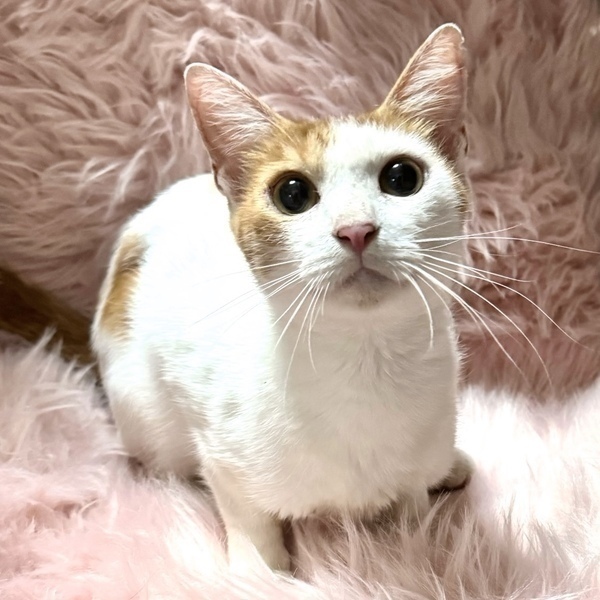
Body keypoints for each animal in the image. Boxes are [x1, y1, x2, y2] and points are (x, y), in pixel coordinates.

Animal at [90, 23, 474, 572]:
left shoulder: (410, 468)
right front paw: (261, 572)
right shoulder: (220, 449)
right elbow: (247, 515)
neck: (366, 364)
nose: (356, 229)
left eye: (402, 178)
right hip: (141, 407)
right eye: (292, 194)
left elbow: (410, 508)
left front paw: (409, 547)